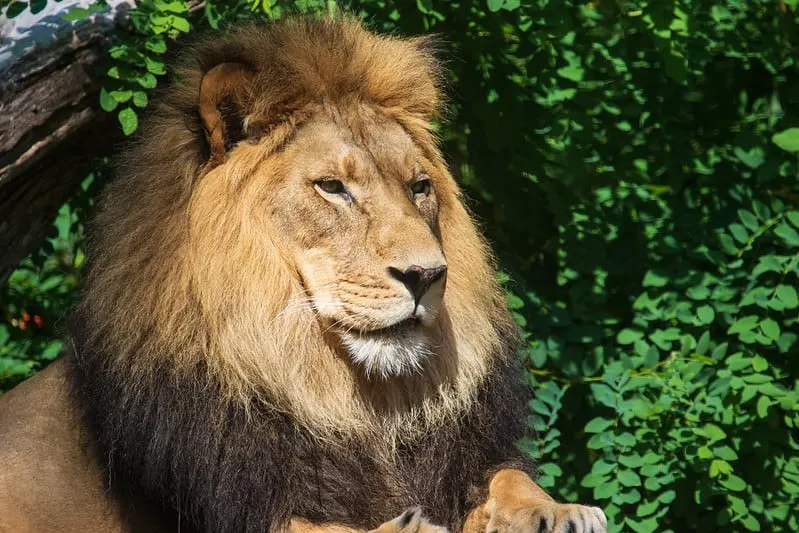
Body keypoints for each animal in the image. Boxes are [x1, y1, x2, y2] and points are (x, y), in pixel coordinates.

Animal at [0, 15, 608, 532]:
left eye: (419, 187)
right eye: (333, 187)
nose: (428, 274)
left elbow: (508, 474)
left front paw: (555, 510)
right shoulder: (245, 500)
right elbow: (328, 527)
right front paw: (405, 525)